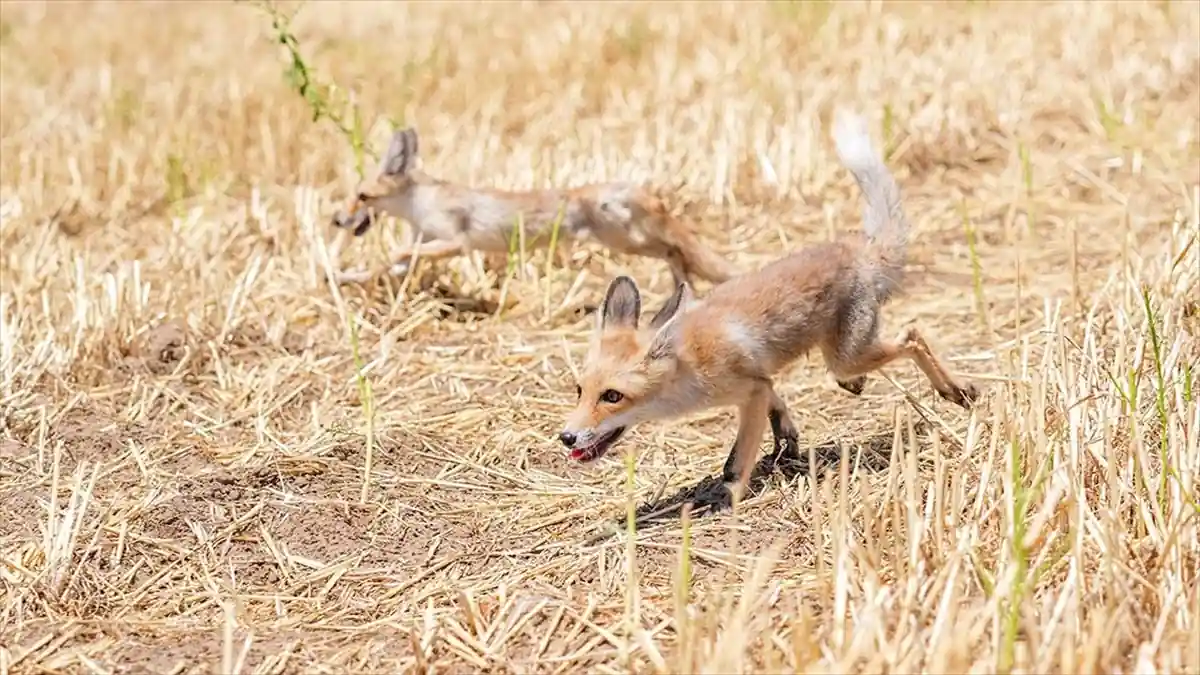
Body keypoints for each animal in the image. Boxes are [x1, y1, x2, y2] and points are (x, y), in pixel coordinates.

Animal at [331, 127, 739, 288]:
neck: (419, 204)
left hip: (626, 241)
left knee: (676, 250)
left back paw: (685, 285)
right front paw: (345, 278)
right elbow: (388, 265)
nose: (337, 220)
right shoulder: (424, 240)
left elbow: (397, 253)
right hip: (626, 241)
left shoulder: (456, 243)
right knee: (678, 252)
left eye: (362, 196)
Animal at [556, 106, 979, 504]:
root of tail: (858, 249)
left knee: (913, 334)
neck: (689, 364)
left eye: (612, 396)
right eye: (579, 391)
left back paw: (956, 390)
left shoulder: (749, 391)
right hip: (845, 355)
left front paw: (730, 495)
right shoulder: (760, 382)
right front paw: (786, 439)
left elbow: (738, 457)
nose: (566, 437)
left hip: (849, 354)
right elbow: (777, 402)